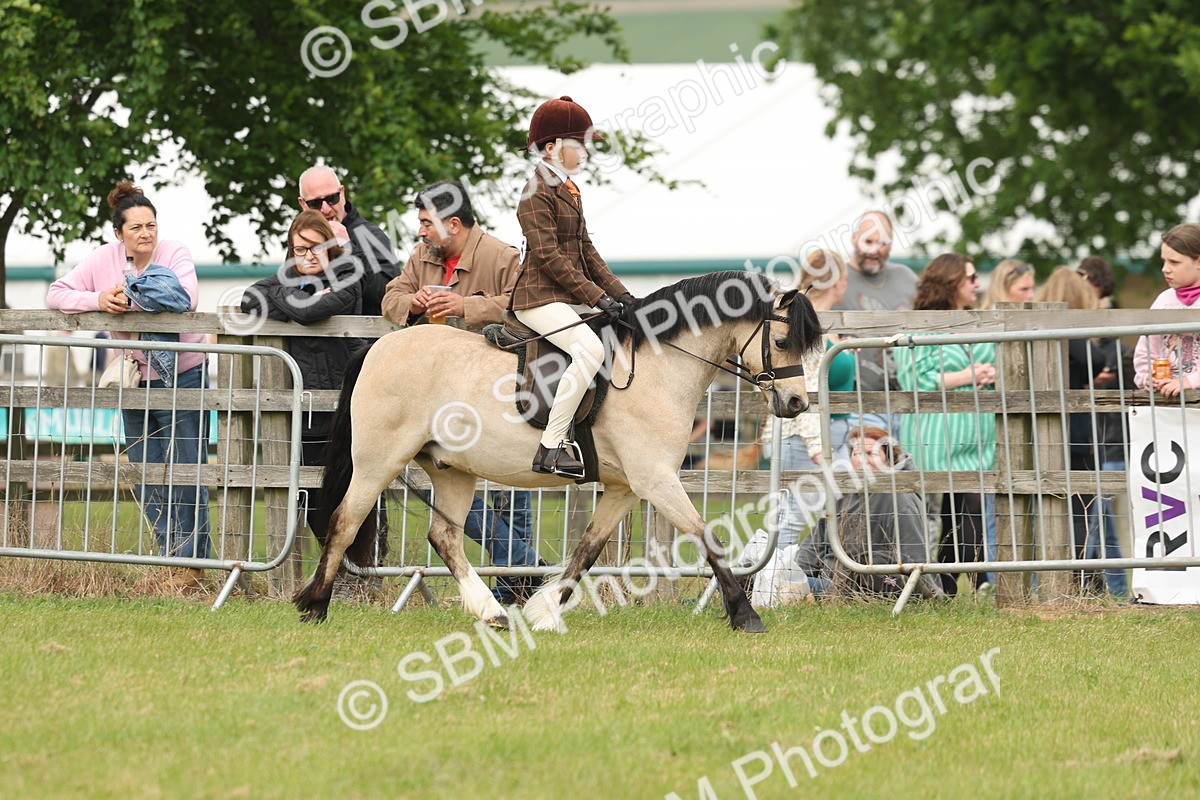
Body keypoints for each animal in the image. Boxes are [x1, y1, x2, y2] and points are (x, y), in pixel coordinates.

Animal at [295, 270, 823, 632]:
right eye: (781, 340)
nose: (797, 403)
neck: (657, 367)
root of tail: (377, 347)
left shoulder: (626, 487)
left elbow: (587, 550)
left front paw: (545, 610)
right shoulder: (656, 479)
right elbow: (706, 537)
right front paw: (745, 615)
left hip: (452, 469)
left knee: (443, 537)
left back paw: (492, 613)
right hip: (378, 460)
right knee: (344, 521)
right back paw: (314, 605)